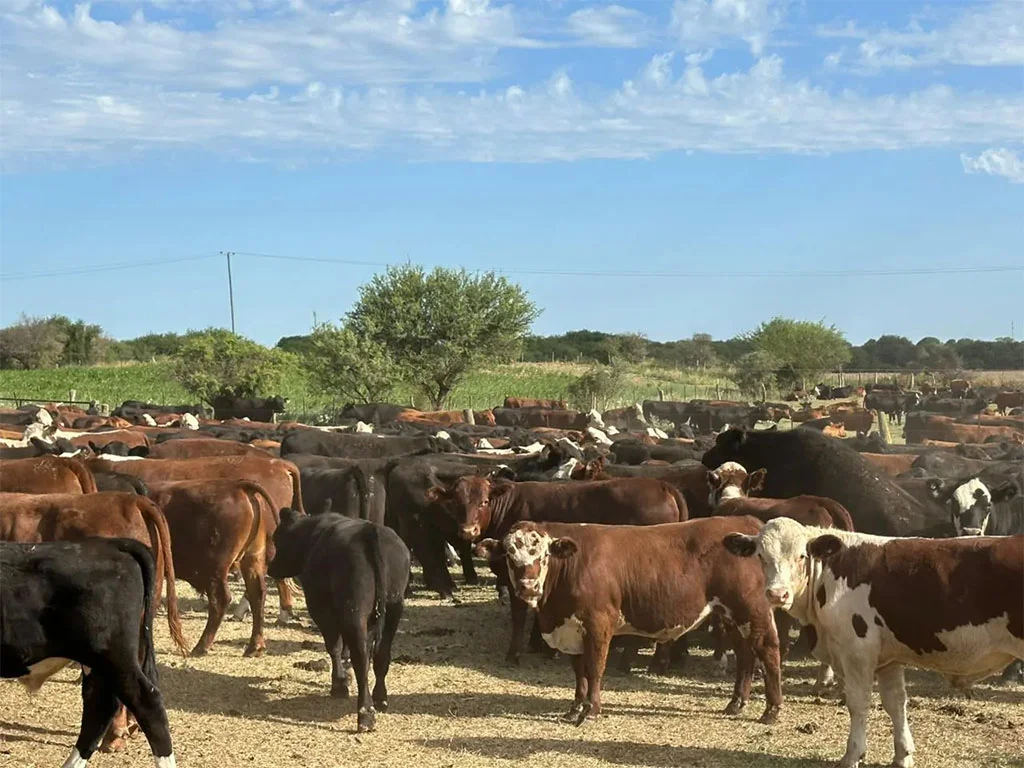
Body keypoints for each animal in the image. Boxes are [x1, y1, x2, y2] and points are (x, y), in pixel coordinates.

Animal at [149, 479, 278, 657]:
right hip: (252, 560)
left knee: (220, 601)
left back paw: (201, 647)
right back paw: (254, 647)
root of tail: (238, 486)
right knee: (257, 594)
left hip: (214, 570)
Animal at [267, 509, 410, 733]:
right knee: (381, 655)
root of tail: (370, 531)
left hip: (354, 612)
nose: (270, 567)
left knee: (361, 658)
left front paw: (340, 684)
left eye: (277, 538)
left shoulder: (321, 610)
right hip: (394, 607)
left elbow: (334, 647)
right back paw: (380, 699)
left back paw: (365, 714)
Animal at [477, 517, 782, 725]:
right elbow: (578, 672)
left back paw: (772, 710)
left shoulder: (598, 624)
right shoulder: (572, 630)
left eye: (543, 554)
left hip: (752, 610)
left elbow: (594, 669)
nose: (527, 586)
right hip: (730, 615)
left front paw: (591, 711)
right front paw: (575, 709)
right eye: (509, 555)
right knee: (745, 655)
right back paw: (736, 703)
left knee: (768, 650)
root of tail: (745, 524)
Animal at [724, 518, 1024, 768]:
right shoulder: (888, 659)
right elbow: (896, 703)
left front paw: (852, 756)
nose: (777, 594)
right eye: (761, 556)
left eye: (802, 556)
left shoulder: (857, 652)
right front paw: (902, 756)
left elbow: (858, 703)